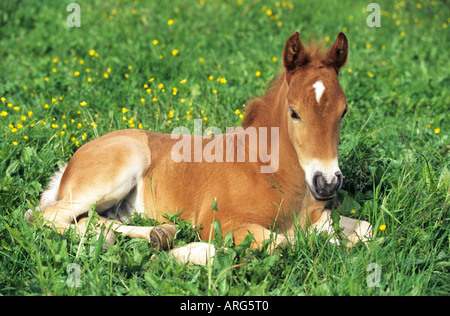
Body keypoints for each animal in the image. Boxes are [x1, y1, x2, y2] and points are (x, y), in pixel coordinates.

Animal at [27, 31, 372, 264]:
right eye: (294, 112)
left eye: (344, 111)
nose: (327, 183)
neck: (275, 174)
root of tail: (71, 164)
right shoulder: (219, 223)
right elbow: (283, 243)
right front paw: (192, 253)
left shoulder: (318, 215)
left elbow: (365, 230)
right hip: (117, 170)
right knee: (43, 217)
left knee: (93, 220)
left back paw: (160, 233)